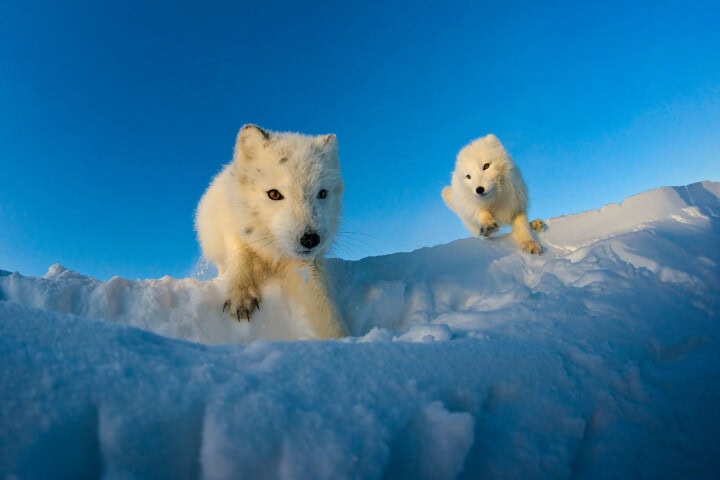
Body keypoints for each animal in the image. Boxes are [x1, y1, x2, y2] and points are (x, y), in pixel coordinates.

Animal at [195, 124, 347, 339]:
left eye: (322, 193)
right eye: (274, 194)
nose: (310, 240)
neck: (271, 248)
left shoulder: (307, 265)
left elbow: (324, 307)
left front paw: (342, 339)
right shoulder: (235, 231)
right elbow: (240, 257)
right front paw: (241, 295)